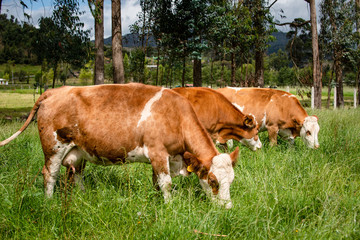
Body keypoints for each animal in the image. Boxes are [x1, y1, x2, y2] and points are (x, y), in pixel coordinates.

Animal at [2, 83, 240, 208]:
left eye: (232, 181)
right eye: (213, 180)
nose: (227, 208)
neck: (176, 115)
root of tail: (55, 90)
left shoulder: (163, 158)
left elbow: (156, 183)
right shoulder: (157, 152)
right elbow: (166, 184)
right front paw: (169, 207)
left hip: (77, 151)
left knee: (77, 174)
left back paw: (83, 196)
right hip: (53, 147)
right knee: (49, 174)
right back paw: (49, 202)